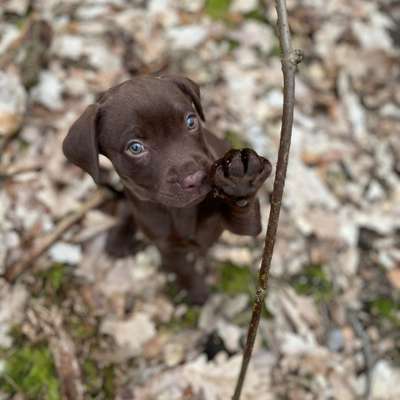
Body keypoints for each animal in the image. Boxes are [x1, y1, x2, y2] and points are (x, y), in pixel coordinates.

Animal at [63, 76, 272, 304]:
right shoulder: (167, 247)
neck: (180, 211)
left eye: (191, 121)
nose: (196, 178)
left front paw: (241, 181)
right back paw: (119, 237)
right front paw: (196, 290)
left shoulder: (246, 226)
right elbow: (183, 268)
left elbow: (244, 211)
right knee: (127, 208)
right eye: (135, 147)